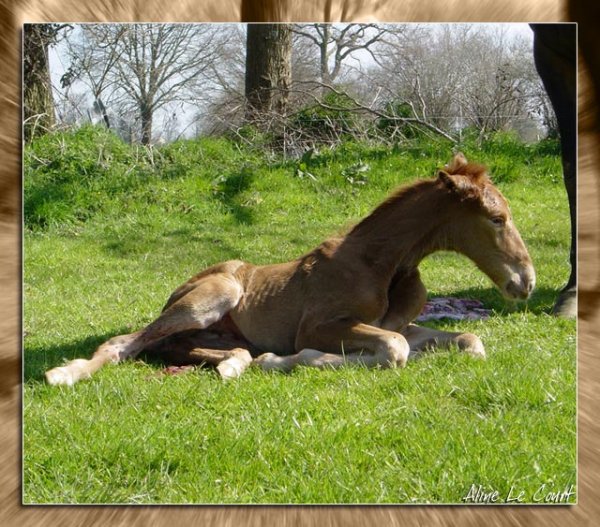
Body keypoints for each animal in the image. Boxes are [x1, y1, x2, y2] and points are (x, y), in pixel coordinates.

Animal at [45, 155, 536, 386]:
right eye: (497, 219)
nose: (526, 282)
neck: (383, 264)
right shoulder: (319, 326)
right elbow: (393, 351)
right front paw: (291, 360)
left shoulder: (402, 323)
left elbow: (468, 340)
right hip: (214, 296)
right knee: (124, 344)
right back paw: (65, 373)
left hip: (214, 332)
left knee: (181, 349)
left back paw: (234, 365)